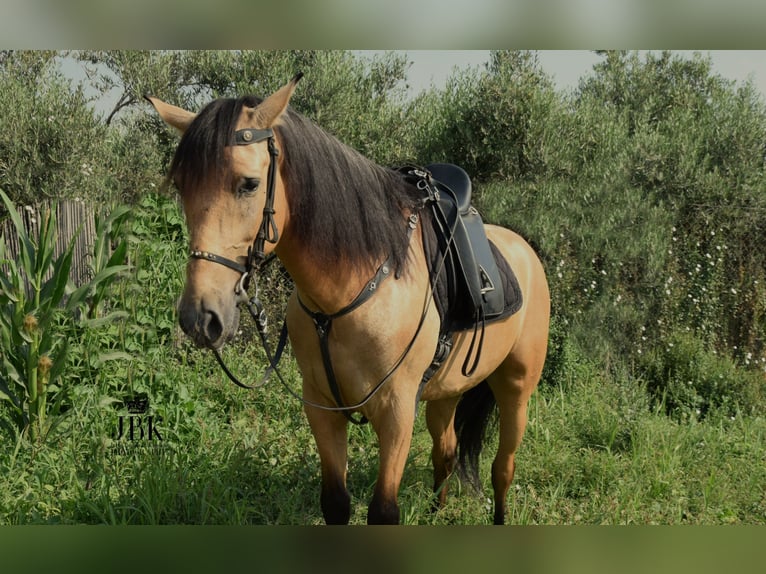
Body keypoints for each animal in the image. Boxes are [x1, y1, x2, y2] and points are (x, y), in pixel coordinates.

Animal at [147, 73, 548, 528]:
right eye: (181, 187)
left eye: (249, 184)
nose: (200, 317)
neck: (347, 294)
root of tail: (523, 250)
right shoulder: (321, 408)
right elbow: (336, 504)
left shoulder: (396, 412)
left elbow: (383, 511)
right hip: (446, 392)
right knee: (445, 452)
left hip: (516, 389)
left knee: (503, 468)